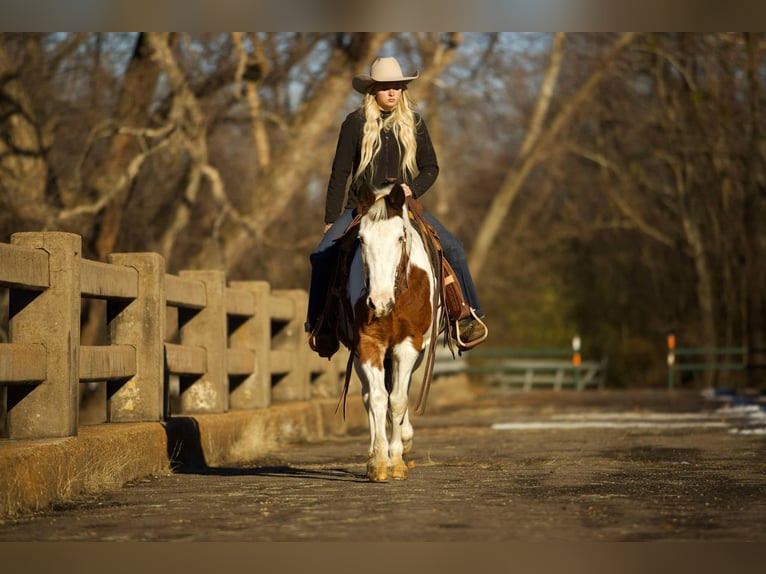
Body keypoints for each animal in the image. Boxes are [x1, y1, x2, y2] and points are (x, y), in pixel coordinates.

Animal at [343, 183, 438, 482]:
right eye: (362, 239)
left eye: (399, 237)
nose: (378, 302)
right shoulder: (368, 344)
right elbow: (377, 399)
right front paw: (380, 462)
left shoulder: (408, 345)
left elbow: (397, 400)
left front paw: (396, 460)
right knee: (368, 396)